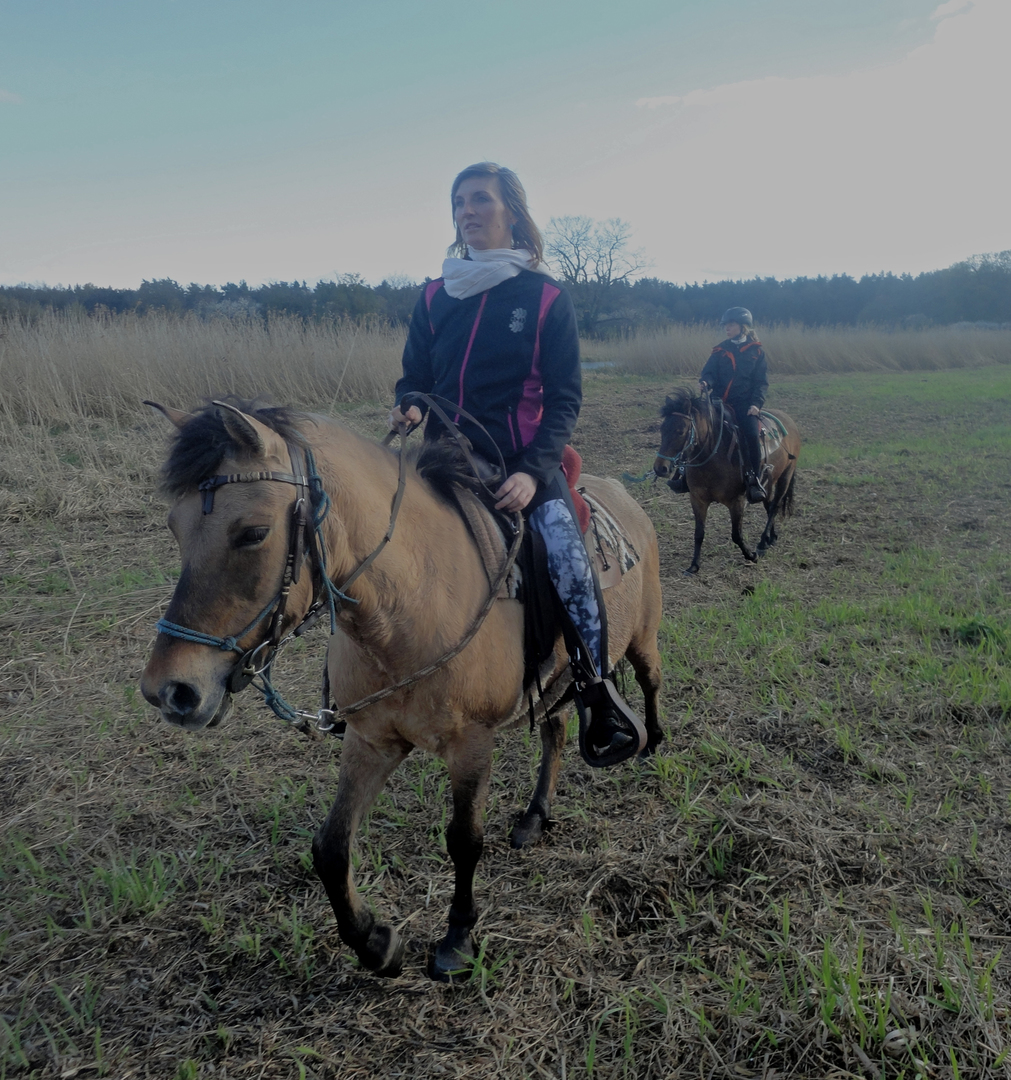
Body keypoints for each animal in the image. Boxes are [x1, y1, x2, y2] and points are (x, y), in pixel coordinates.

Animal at [140, 399, 664, 980]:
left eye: (253, 532)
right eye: (174, 527)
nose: (170, 691)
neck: (410, 606)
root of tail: (622, 495)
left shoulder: (471, 744)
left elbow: (464, 840)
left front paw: (457, 938)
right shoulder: (370, 740)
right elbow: (331, 846)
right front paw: (374, 942)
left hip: (642, 639)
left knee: (649, 681)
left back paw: (652, 745)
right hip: (552, 682)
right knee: (556, 729)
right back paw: (534, 817)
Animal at [651, 387, 800, 575]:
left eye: (681, 431)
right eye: (662, 429)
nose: (660, 468)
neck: (714, 457)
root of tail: (788, 420)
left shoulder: (736, 501)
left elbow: (736, 534)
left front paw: (751, 556)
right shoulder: (698, 500)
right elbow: (699, 533)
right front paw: (694, 565)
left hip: (786, 475)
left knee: (774, 507)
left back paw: (762, 542)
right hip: (769, 481)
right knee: (768, 504)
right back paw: (770, 539)